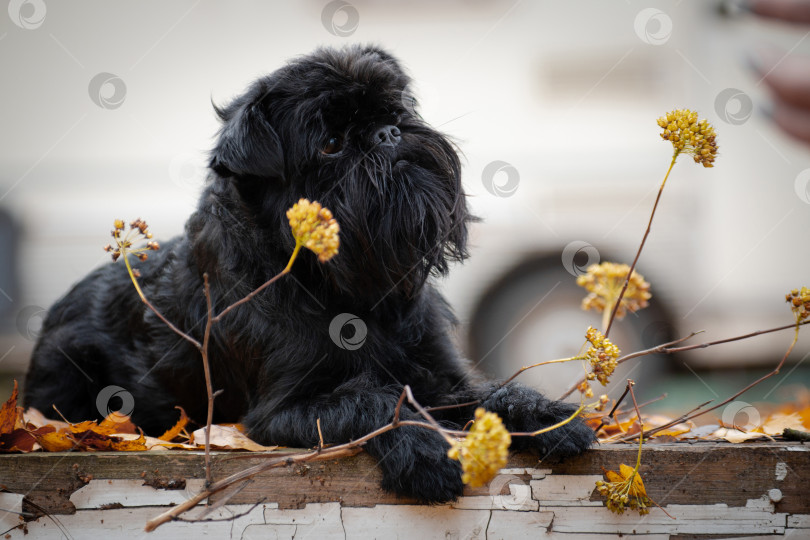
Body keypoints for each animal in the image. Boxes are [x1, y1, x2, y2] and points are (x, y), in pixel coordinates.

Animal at [23, 45, 592, 502]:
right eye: (330, 144)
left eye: (398, 111)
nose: (388, 132)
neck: (356, 290)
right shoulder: (278, 414)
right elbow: (371, 400)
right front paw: (426, 453)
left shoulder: (437, 380)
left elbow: (488, 395)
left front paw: (547, 415)